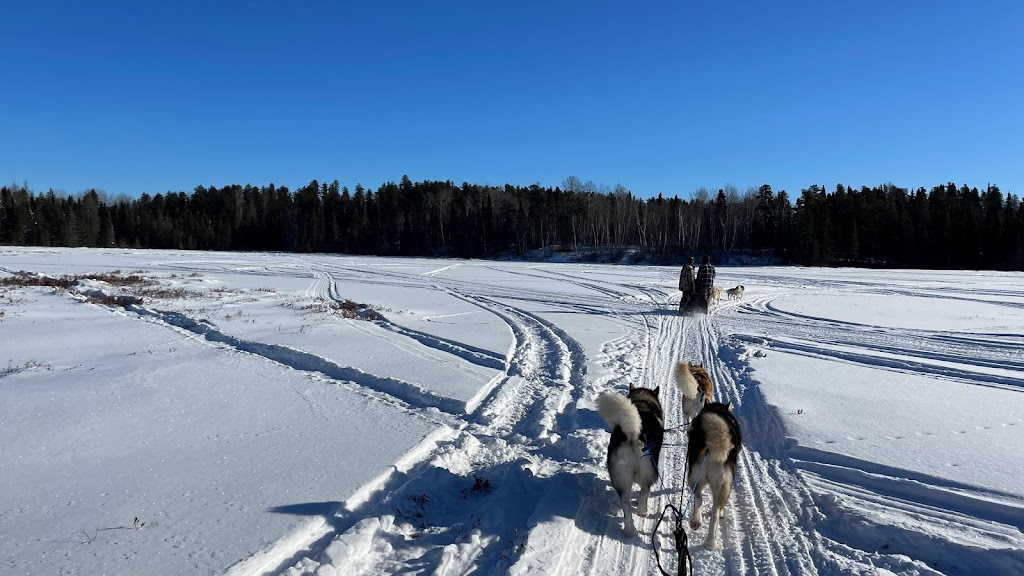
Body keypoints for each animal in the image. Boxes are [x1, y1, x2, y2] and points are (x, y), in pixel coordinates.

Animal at [598, 383, 667, 537]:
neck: (642, 401)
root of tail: (632, 434)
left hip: (621, 477)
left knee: (626, 504)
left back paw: (630, 530)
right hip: (649, 471)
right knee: (644, 492)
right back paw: (642, 512)